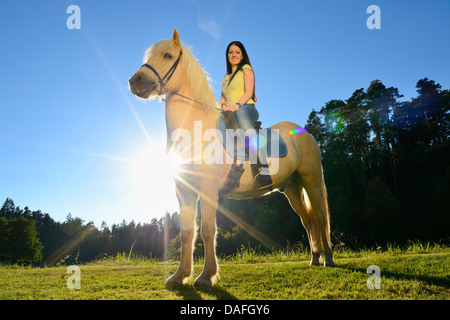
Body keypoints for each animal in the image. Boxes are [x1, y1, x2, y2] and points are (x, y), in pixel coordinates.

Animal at [129, 29, 334, 288]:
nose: (135, 81)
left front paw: (206, 276)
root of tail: (304, 133)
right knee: (307, 221)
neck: (196, 130)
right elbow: (187, 231)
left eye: (167, 55)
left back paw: (329, 259)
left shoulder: (208, 189)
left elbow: (207, 230)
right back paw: (315, 258)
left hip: (312, 181)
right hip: (292, 188)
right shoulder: (184, 190)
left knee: (320, 217)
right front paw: (179, 276)